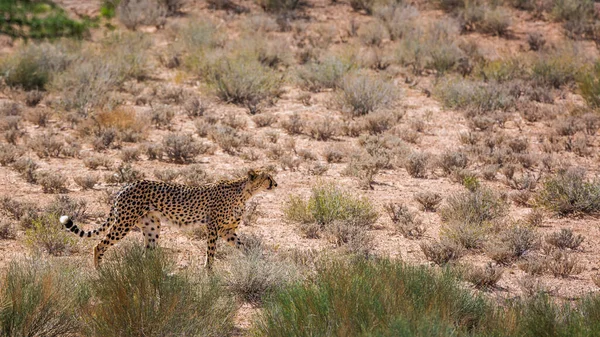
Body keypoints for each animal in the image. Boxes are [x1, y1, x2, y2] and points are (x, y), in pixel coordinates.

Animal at [61, 169, 276, 270]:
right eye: (268, 177)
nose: (276, 183)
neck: (244, 193)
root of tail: (127, 185)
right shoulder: (214, 228)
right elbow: (211, 253)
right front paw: (209, 273)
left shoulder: (227, 231)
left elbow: (245, 247)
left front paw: (257, 262)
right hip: (124, 222)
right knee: (99, 245)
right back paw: (101, 272)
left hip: (152, 226)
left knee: (147, 253)